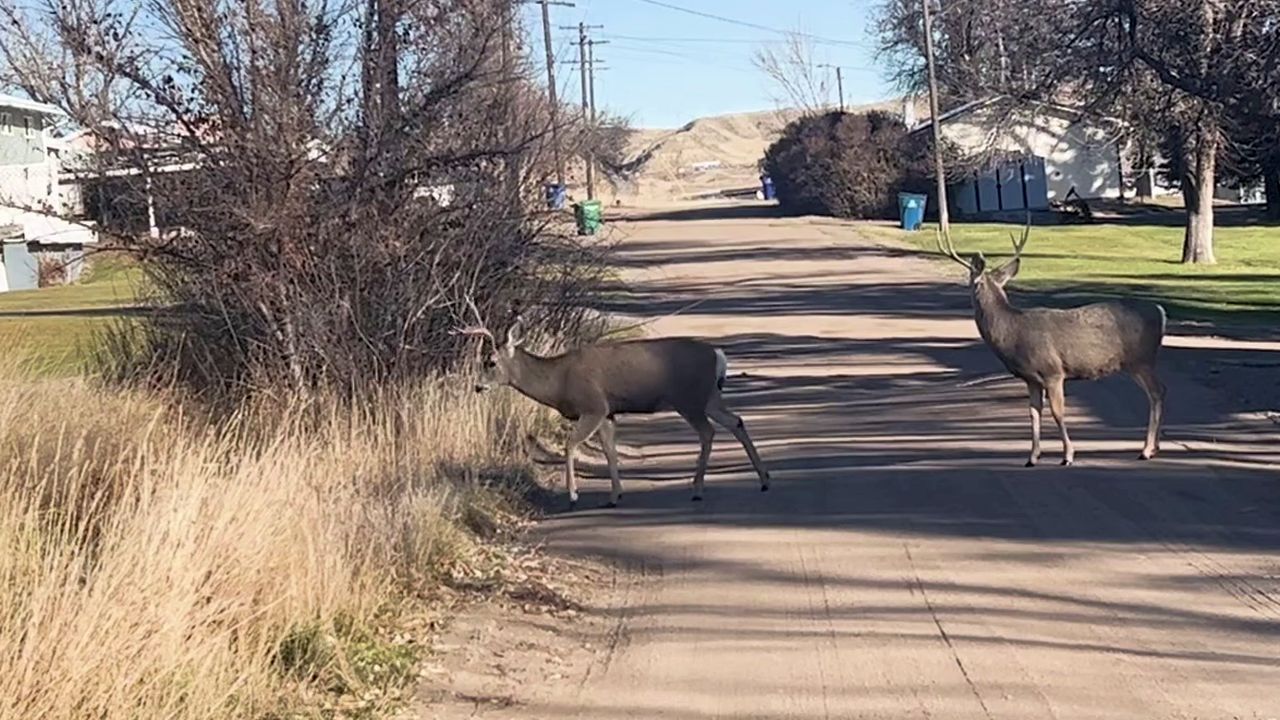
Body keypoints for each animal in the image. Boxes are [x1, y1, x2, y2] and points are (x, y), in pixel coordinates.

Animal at [457, 313, 772, 510]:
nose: (478, 386)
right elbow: (610, 450)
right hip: (709, 397)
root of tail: (717, 355)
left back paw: (697, 489)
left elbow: (570, 444)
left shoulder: (593, 406)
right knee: (736, 421)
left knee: (708, 432)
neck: (558, 380)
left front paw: (573, 495)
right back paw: (764, 480)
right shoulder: (608, 412)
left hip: (690, 399)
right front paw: (614, 496)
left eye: (490, 362)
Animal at [936, 222, 1167, 466]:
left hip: (1142, 360)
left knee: (1157, 392)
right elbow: (1034, 413)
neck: (1013, 332)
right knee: (1158, 392)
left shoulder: (1053, 371)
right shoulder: (1031, 378)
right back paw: (1154, 448)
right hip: (1135, 363)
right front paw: (1032, 456)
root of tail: (1160, 312)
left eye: (970, 281)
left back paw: (1146, 449)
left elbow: (1057, 412)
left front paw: (1068, 455)